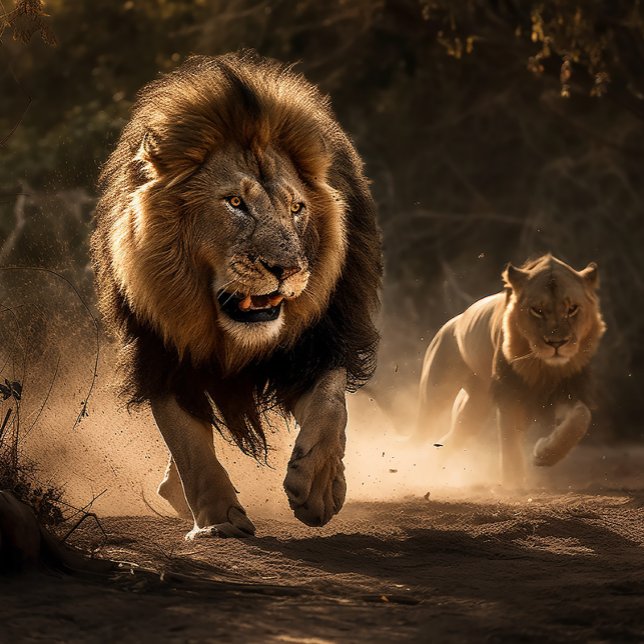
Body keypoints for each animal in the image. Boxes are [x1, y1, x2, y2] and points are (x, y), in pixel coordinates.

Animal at [90, 52, 381, 538]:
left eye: (296, 208)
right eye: (234, 203)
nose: (287, 270)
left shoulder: (320, 340)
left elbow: (330, 405)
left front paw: (318, 487)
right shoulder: (161, 350)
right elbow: (187, 443)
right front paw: (218, 520)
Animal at [415, 254, 605, 487]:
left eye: (572, 309)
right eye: (537, 310)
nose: (557, 343)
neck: (543, 366)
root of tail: (454, 321)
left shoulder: (568, 390)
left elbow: (580, 418)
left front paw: (544, 454)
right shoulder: (508, 394)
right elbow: (509, 441)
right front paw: (513, 482)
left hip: (474, 408)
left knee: (452, 437)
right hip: (435, 393)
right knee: (421, 432)